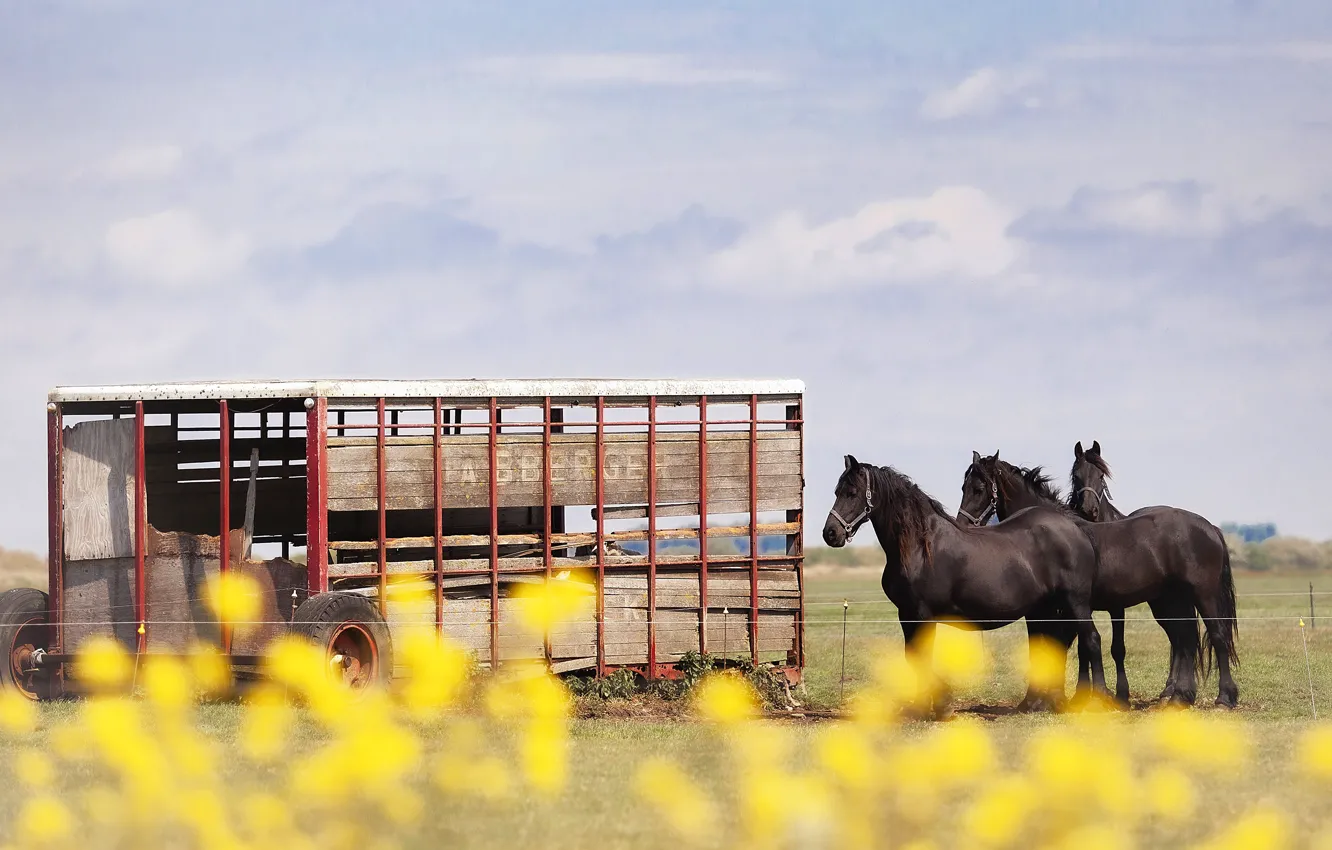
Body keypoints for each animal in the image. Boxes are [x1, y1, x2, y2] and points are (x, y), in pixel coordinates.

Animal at [823, 455, 1108, 715]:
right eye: (836, 491)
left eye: (851, 492)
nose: (830, 533)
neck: (920, 545)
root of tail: (1076, 530)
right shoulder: (906, 615)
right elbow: (913, 657)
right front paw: (922, 705)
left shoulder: (922, 614)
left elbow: (922, 657)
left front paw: (937, 704)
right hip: (1046, 609)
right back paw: (1045, 702)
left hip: (1075, 602)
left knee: (1091, 640)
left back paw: (1099, 700)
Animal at [958, 451, 1203, 706]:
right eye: (963, 487)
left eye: (978, 489)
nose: (963, 524)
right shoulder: (1043, 611)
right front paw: (1043, 698)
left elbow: (1069, 646)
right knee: (1181, 638)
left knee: (1181, 639)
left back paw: (1172, 692)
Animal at [1068, 441, 1238, 708]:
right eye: (1076, 476)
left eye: (1101, 477)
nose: (1090, 509)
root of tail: (1210, 528)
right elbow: (1084, 648)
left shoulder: (1115, 607)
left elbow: (1117, 647)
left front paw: (1120, 695)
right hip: (1169, 604)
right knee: (1182, 639)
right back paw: (1176, 692)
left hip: (1201, 596)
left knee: (1212, 635)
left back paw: (1220, 697)